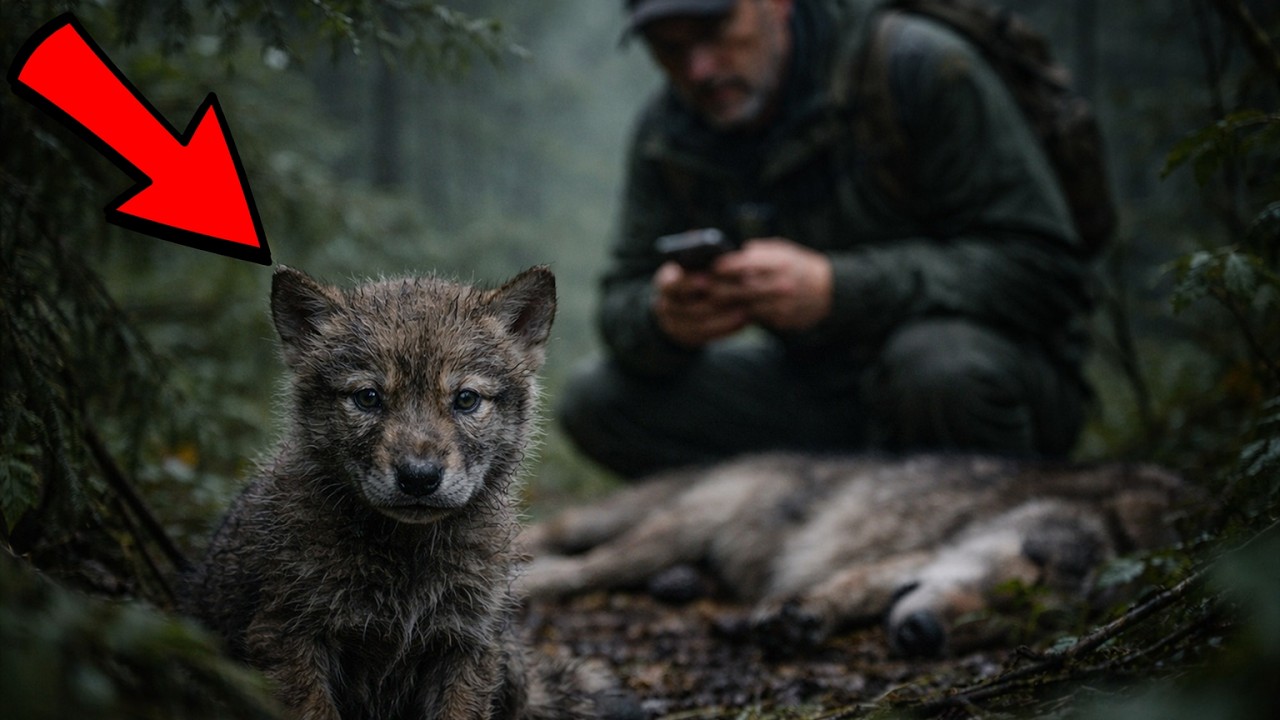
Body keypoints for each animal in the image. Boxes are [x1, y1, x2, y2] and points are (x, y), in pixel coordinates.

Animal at [182, 266, 625, 720]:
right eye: (368, 397)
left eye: (466, 399)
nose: (418, 477)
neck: (405, 555)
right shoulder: (287, 638)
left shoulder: (467, 643)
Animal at [519, 454, 1187, 658]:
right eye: (1020, 577)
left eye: (1020, 623)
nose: (923, 636)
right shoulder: (929, 549)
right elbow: (856, 583)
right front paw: (802, 614)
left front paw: (802, 620)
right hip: (665, 527)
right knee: (574, 559)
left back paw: (682, 584)